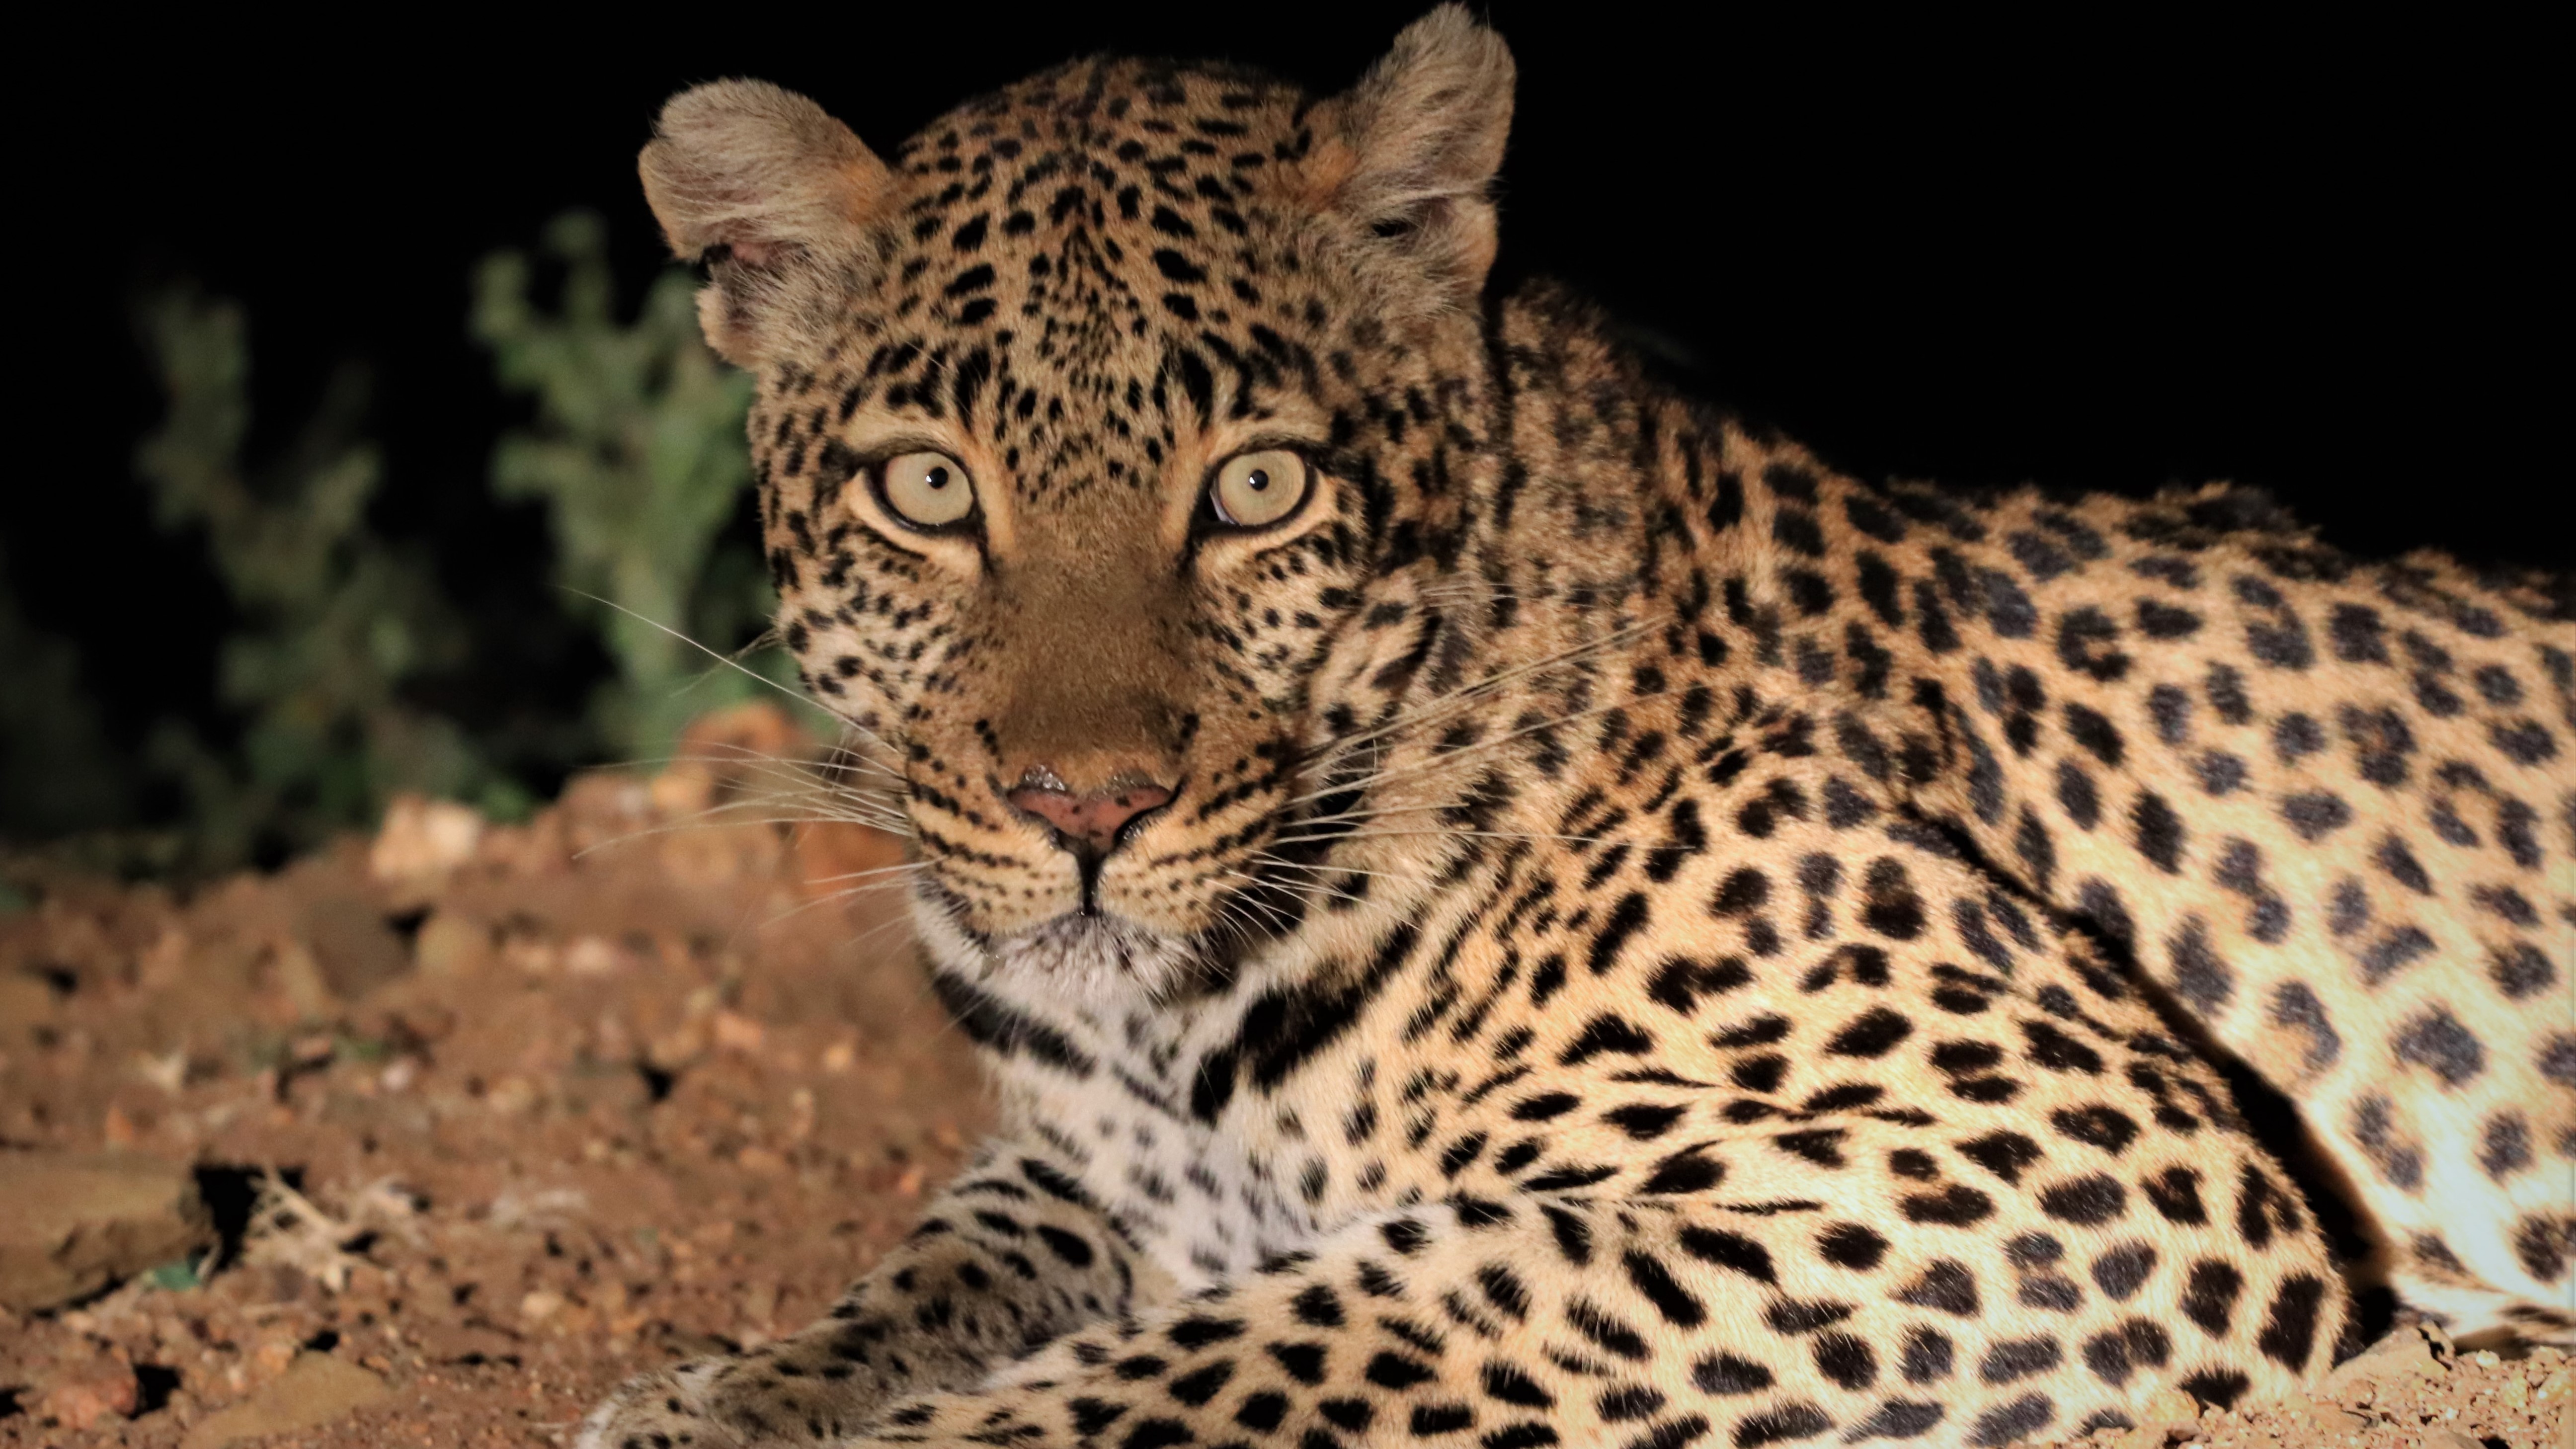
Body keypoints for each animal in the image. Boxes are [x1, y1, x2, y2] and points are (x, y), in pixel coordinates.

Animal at [579, 9, 2575, 1447]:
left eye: (1255, 490)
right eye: (927, 488)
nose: (1088, 809)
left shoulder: (2059, 1146)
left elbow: (1321, 1327)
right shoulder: (1086, 1165)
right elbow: (931, 1272)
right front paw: (709, 1398)